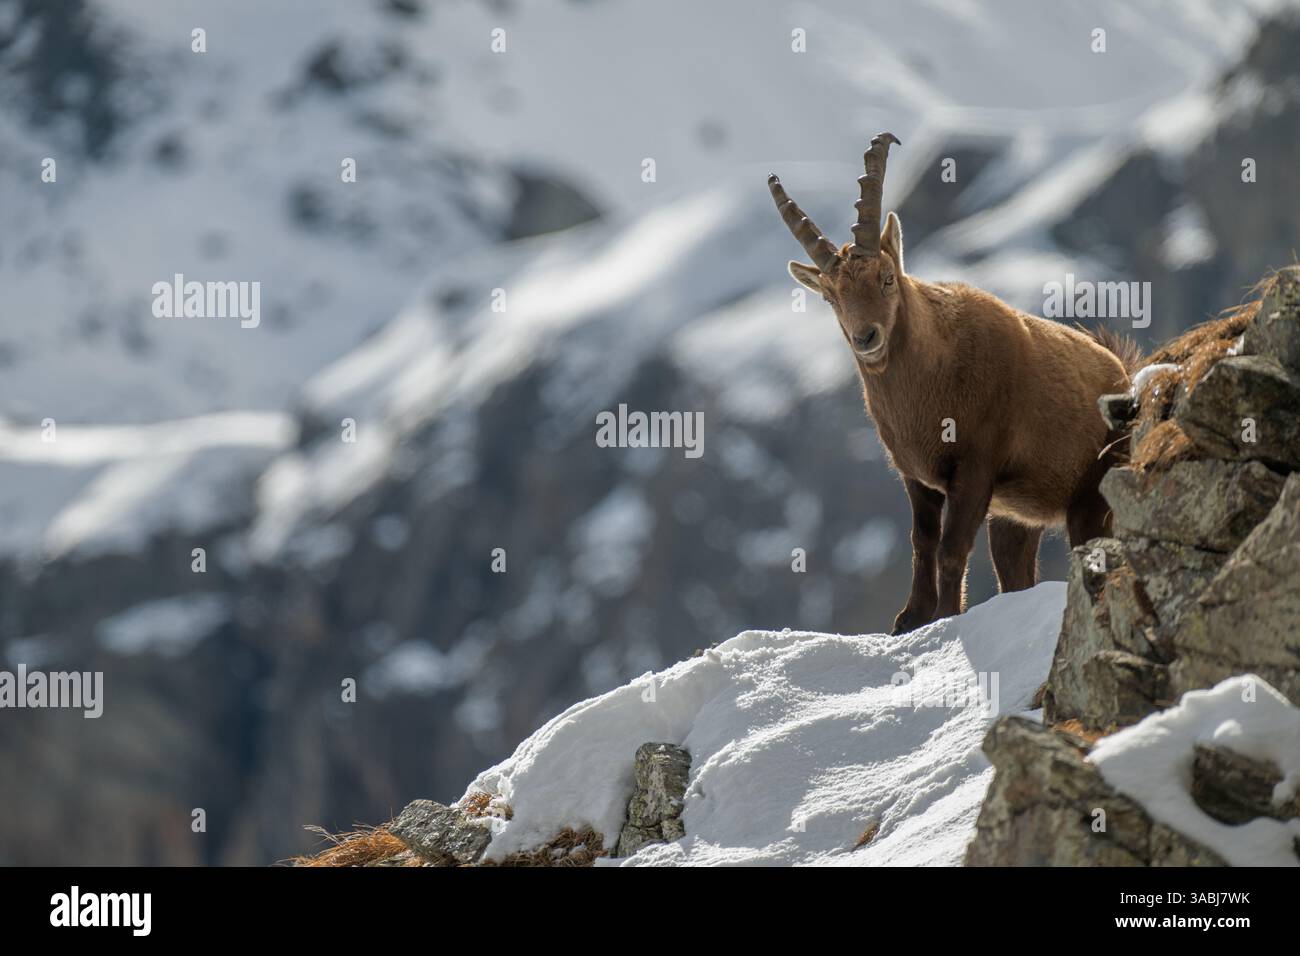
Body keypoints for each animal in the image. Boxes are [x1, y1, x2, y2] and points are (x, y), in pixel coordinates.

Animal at [769, 134, 1140, 634]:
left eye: (887, 277)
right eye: (830, 297)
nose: (866, 338)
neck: (931, 380)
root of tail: (1125, 374)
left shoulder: (975, 467)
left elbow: (951, 547)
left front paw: (946, 615)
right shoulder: (916, 475)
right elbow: (922, 541)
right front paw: (910, 618)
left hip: (1091, 499)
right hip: (1015, 520)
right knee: (1014, 575)